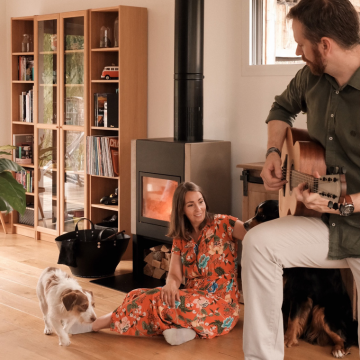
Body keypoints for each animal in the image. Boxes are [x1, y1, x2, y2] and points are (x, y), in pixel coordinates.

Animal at [243, 201, 358, 358]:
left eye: (263, 216)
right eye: (256, 213)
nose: (245, 224)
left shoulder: (299, 293)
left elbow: (294, 317)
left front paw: (288, 340)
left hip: (323, 310)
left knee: (345, 338)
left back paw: (339, 349)